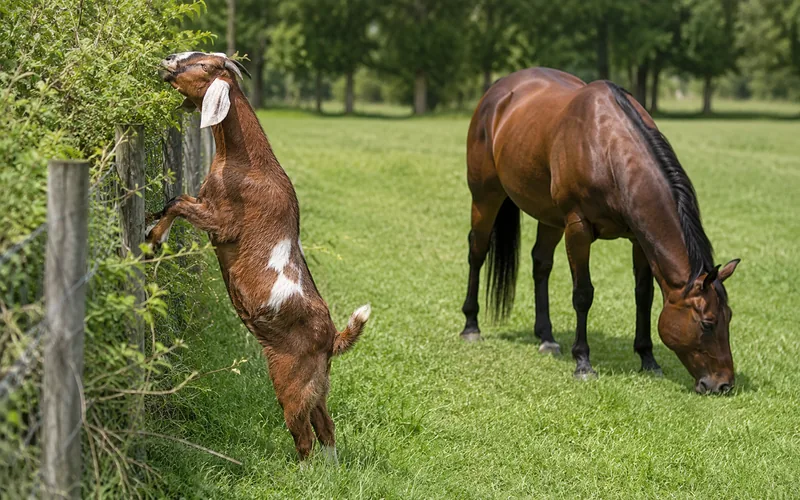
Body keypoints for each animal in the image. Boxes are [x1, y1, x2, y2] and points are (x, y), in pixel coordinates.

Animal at [148, 51, 371, 461]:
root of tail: (332, 337)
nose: (168, 59)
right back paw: (331, 470)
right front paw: (151, 225)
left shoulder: (221, 223)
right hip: (317, 383)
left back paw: (303, 471)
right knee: (326, 426)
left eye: (203, 65)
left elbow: (177, 202)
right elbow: (177, 200)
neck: (245, 161)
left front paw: (154, 238)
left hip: (291, 381)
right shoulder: (206, 206)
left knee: (305, 436)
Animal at [459, 68, 740, 394]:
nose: (723, 384)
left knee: (541, 264)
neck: (605, 149)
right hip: (485, 196)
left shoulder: (638, 239)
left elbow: (643, 295)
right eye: (707, 323)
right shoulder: (578, 229)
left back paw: (546, 338)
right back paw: (471, 326)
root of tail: (497, 93)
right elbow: (583, 294)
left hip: (549, 217)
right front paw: (583, 363)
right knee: (477, 251)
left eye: (729, 318)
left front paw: (648, 359)